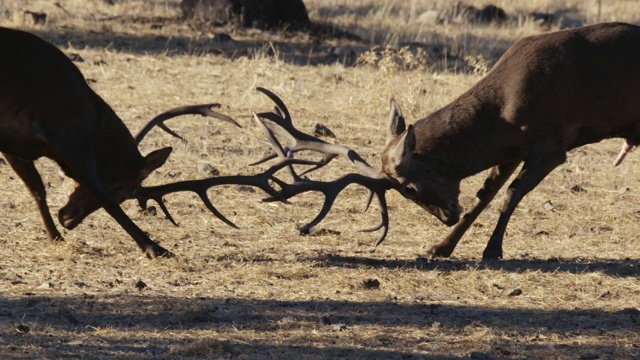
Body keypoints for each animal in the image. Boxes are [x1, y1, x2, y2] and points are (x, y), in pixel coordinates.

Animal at [244, 22, 640, 260]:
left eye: (408, 188)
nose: (446, 217)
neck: (506, 111)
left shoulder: (551, 142)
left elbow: (509, 196)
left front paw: (492, 250)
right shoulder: (511, 149)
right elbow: (483, 197)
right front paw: (440, 248)